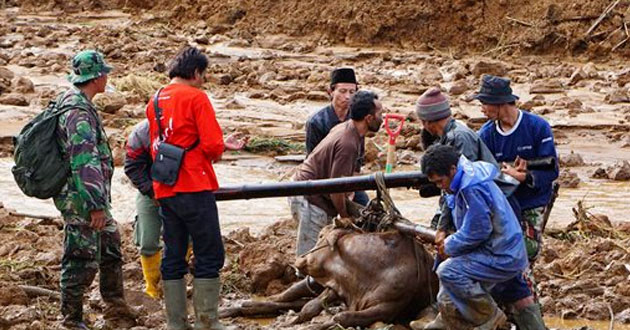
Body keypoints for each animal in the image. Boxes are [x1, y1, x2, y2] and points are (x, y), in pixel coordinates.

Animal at [222, 226, 440, 328]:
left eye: (320, 236)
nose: (299, 258)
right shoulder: (337, 287)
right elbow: (311, 308)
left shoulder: (388, 308)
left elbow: (340, 317)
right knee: (284, 298)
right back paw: (242, 306)